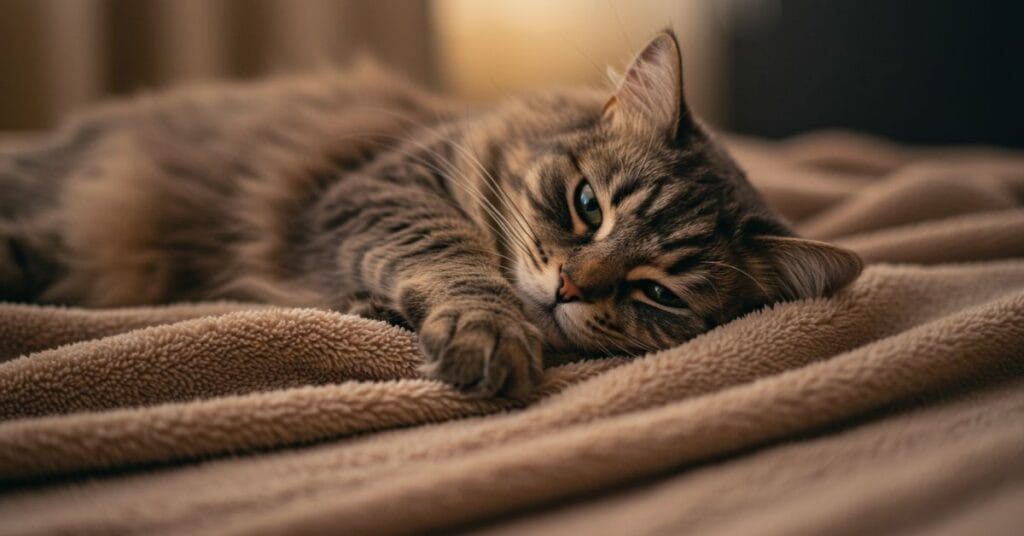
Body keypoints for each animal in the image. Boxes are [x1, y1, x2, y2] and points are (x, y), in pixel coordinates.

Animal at [0, 30, 864, 397]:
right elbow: (458, 262)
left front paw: (381, 310)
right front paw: (489, 336)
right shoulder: (375, 192)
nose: (571, 287)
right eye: (587, 206)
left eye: (657, 293)